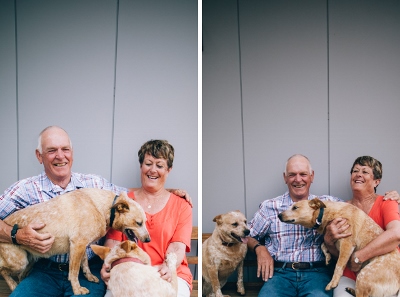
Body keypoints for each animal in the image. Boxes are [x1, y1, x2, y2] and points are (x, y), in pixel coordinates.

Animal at [0, 187, 150, 294]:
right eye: (139, 223)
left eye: (145, 221)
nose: (148, 239)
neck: (103, 209)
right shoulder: (78, 244)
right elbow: (74, 272)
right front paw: (77, 290)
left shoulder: (81, 245)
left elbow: (85, 264)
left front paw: (89, 277)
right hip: (20, 261)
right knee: (3, 270)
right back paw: (13, 285)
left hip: (29, 260)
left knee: (19, 274)